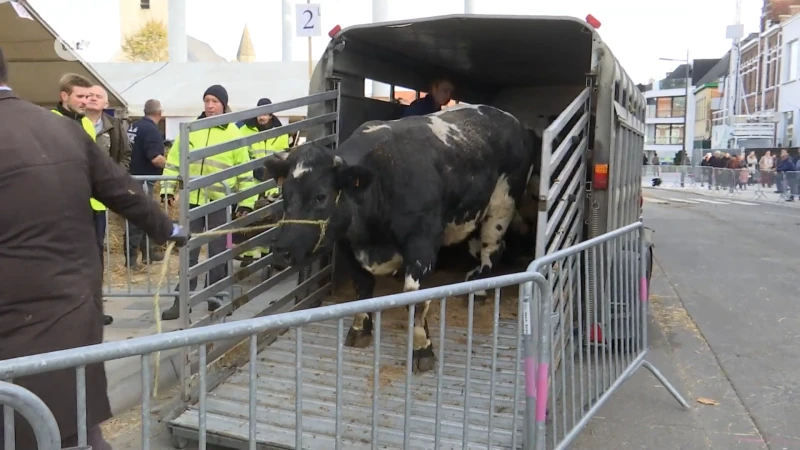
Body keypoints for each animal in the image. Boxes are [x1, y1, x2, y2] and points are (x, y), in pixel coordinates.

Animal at [266, 105, 536, 372]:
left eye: (321, 196)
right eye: (285, 194)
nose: (281, 251)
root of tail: (510, 119)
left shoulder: (422, 244)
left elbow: (414, 299)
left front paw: (422, 348)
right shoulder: (346, 243)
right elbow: (362, 287)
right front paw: (360, 328)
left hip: (502, 204)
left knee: (493, 248)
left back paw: (479, 287)